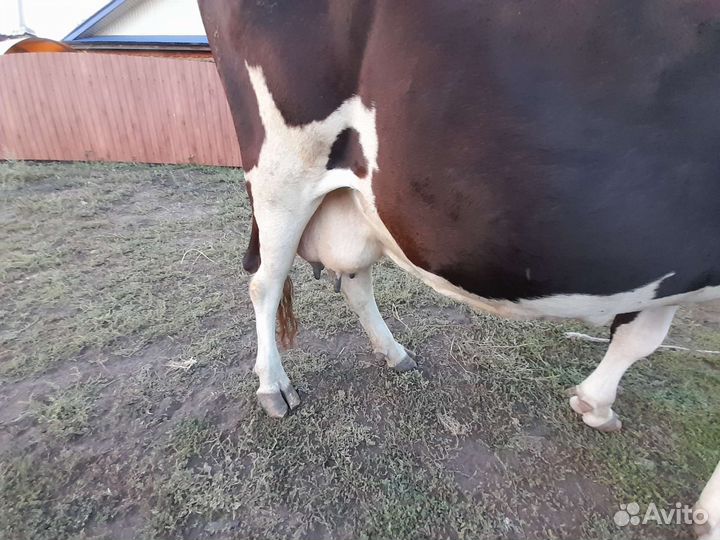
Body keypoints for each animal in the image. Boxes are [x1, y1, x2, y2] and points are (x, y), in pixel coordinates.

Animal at [198, 2, 720, 537]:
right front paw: (710, 511)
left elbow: (639, 338)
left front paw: (594, 403)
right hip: (281, 172)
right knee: (266, 281)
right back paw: (274, 386)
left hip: (358, 196)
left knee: (354, 281)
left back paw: (394, 353)